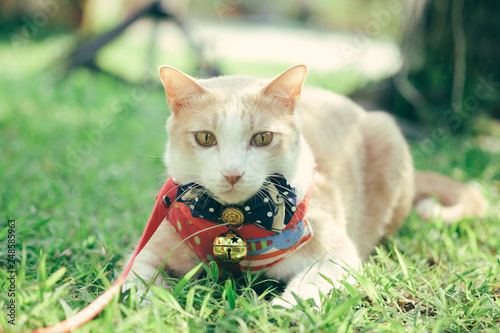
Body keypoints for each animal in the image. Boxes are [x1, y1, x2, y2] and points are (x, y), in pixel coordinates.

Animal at [125, 63, 488, 308]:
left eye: (263, 138)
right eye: (204, 138)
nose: (232, 173)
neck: (236, 221)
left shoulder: (338, 256)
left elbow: (306, 289)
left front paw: (280, 313)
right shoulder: (146, 252)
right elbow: (135, 283)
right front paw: (150, 308)